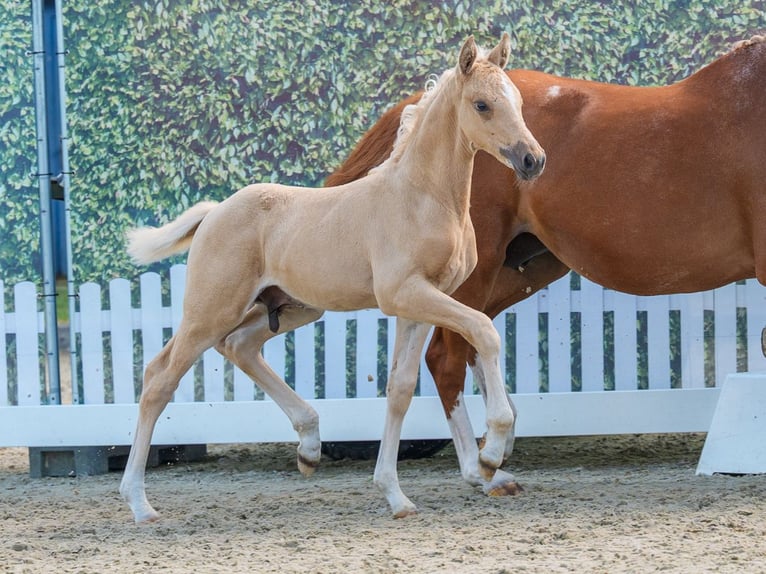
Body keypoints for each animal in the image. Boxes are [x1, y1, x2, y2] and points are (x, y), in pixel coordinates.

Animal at [119, 33, 545, 523]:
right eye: (482, 104)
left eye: (518, 101)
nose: (533, 159)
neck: (422, 198)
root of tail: (214, 213)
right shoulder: (404, 293)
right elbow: (485, 331)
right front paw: (492, 452)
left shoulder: (420, 302)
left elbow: (400, 388)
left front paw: (395, 496)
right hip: (210, 311)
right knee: (159, 377)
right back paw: (139, 503)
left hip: (292, 308)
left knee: (239, 346)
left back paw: (309, 446)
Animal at [326, 35, 766, 496]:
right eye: (483, 105)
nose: (533, 160)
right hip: (477, 271)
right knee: (447, 357)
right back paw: (480, 464)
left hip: (519, 269)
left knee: (473, 341)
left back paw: (497, 445)